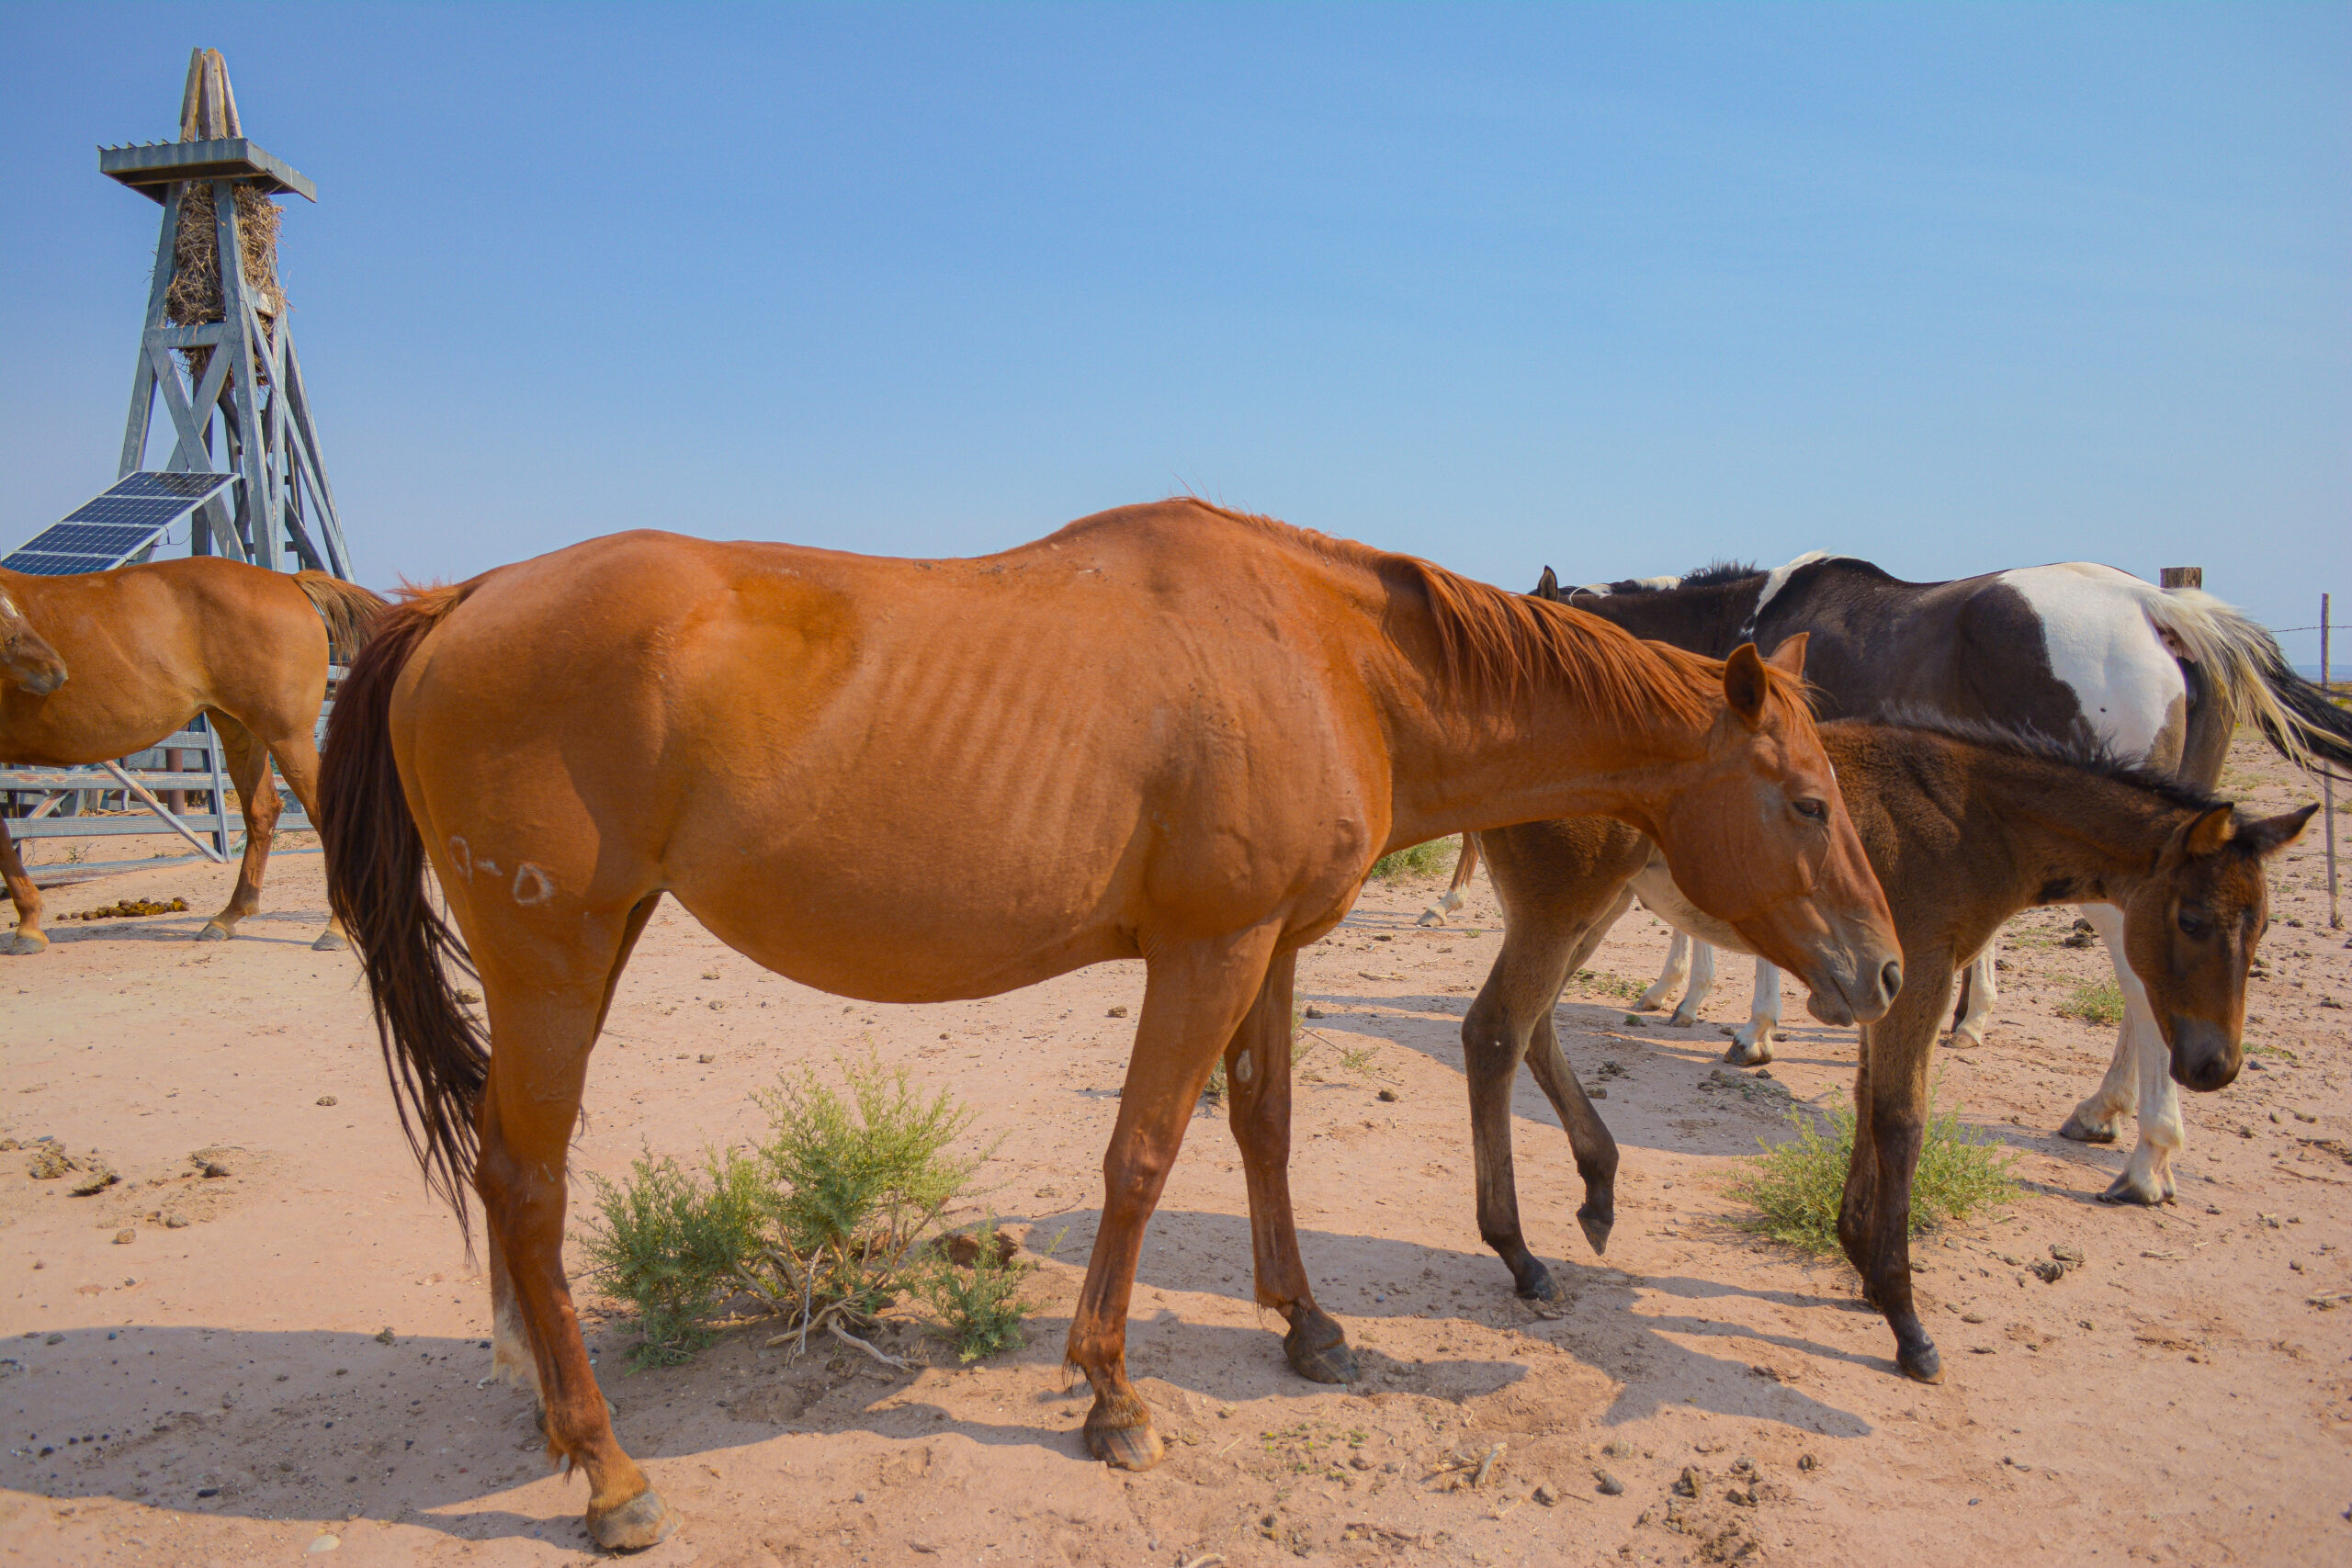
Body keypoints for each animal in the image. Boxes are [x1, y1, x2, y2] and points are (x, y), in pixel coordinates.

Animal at [1, 558, 384, 955]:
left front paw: (28, 926)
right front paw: (28, 925)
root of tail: (288, 580)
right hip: (240, 729)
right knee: (262, 811)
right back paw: (227, 917)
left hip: (287, 736)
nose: (54, 673)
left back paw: (336, 927)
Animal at [317, 500, 1902, 1550]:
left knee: (502, 1178)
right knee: (527, 1183)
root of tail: (460, 598)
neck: (1321, 653)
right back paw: (606, 1470)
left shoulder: (1270, 948)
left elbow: (1263, 1125)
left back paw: (547, 1407)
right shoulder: (1205, 951)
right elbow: (1142, 1157)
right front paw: (1110, 1393)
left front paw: (1308, 1324)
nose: (1885, 972)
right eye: (1807, 801)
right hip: (554, 955)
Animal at [1430, 552, 2351, 1205]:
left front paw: (1747, 1028)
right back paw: (2105, 1112)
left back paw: (2149, 1153)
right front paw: (1681, 996)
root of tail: (2163, 610)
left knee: (2138, 974)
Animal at [1456, 717, 2311, 1382]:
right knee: (1495, 1031)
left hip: (1594, 908)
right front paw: (1906, 1319)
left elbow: (1870, 1105)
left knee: (1534, 1027)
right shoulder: (1922, 973)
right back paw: (1521, 1255)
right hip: (1565, 904)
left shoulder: (1884, 980)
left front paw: (1862, 1262)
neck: (1978, 815)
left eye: (2264, 925)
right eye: (2193, 919)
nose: (2216, 1066)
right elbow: (1903, 1122)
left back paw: (1598, 1188)